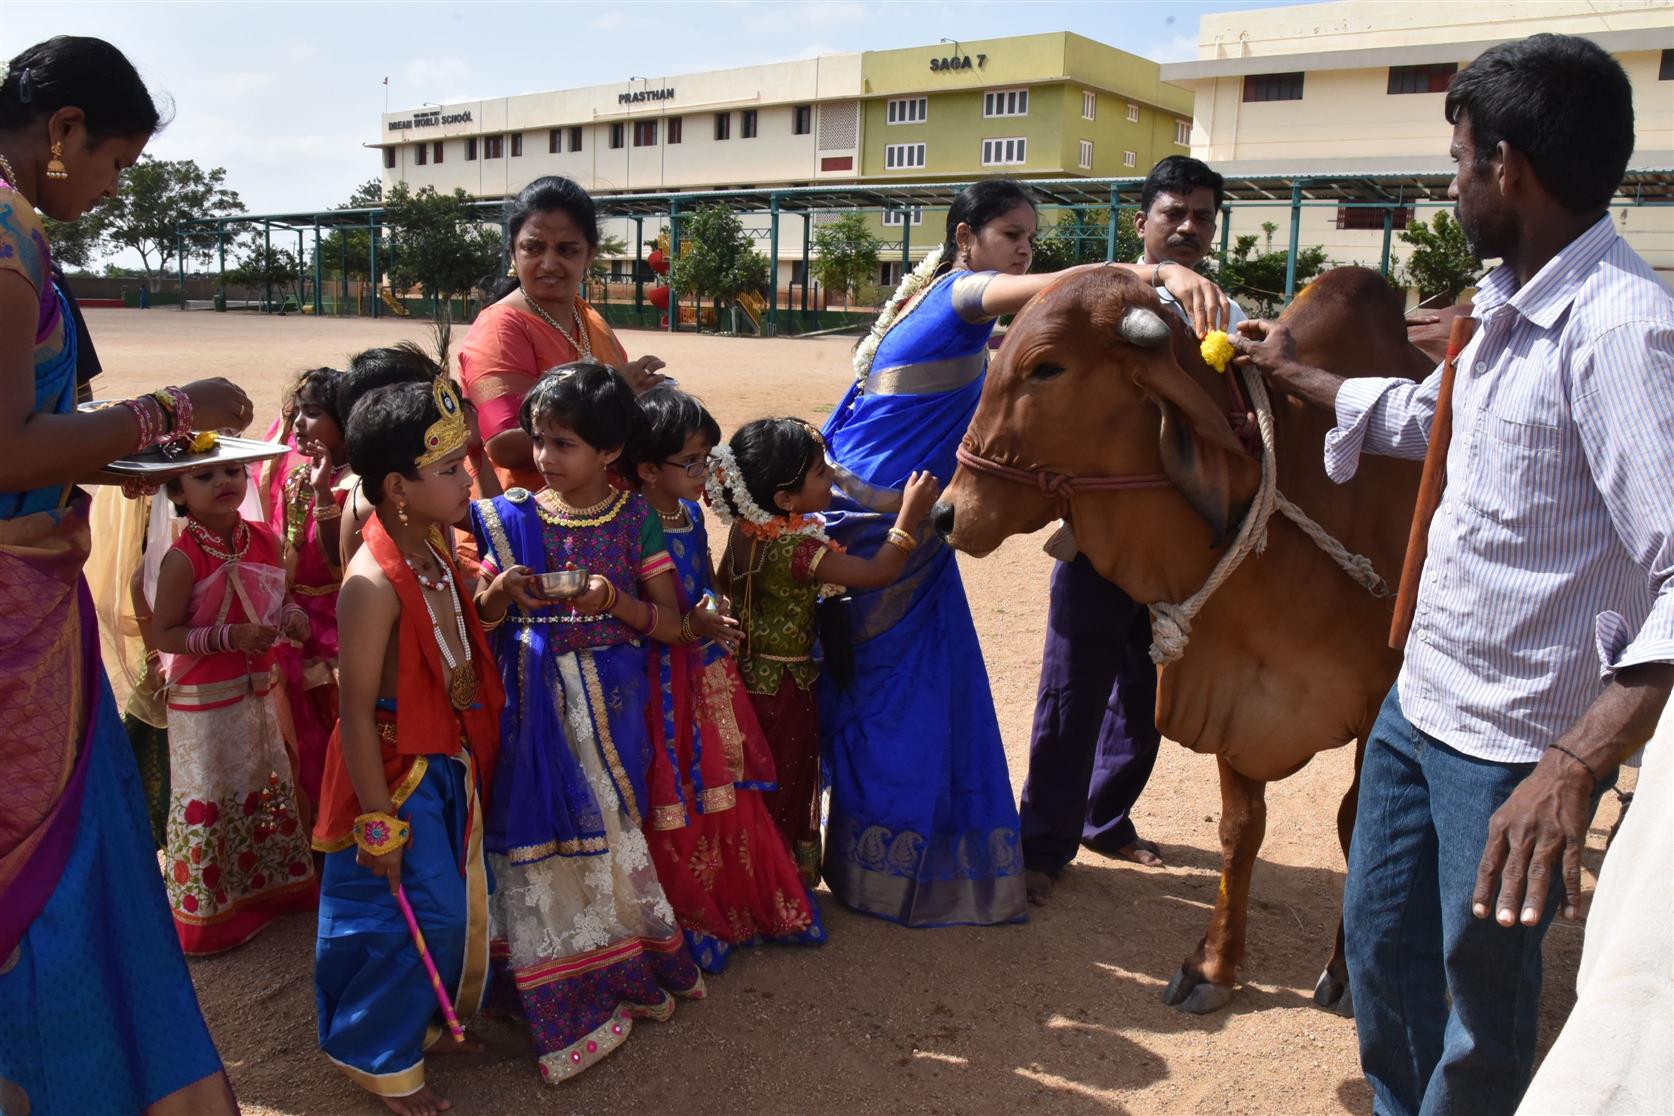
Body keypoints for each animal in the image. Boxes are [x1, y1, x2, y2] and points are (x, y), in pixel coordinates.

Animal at [937, 266, 1432, 1017]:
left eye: (1046, 367)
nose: (946, 512)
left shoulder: (1385, 702)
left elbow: (1360, 825)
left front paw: (1347, 971)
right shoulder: (1235, 697)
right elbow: (1240, 830)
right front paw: (1214, 966)